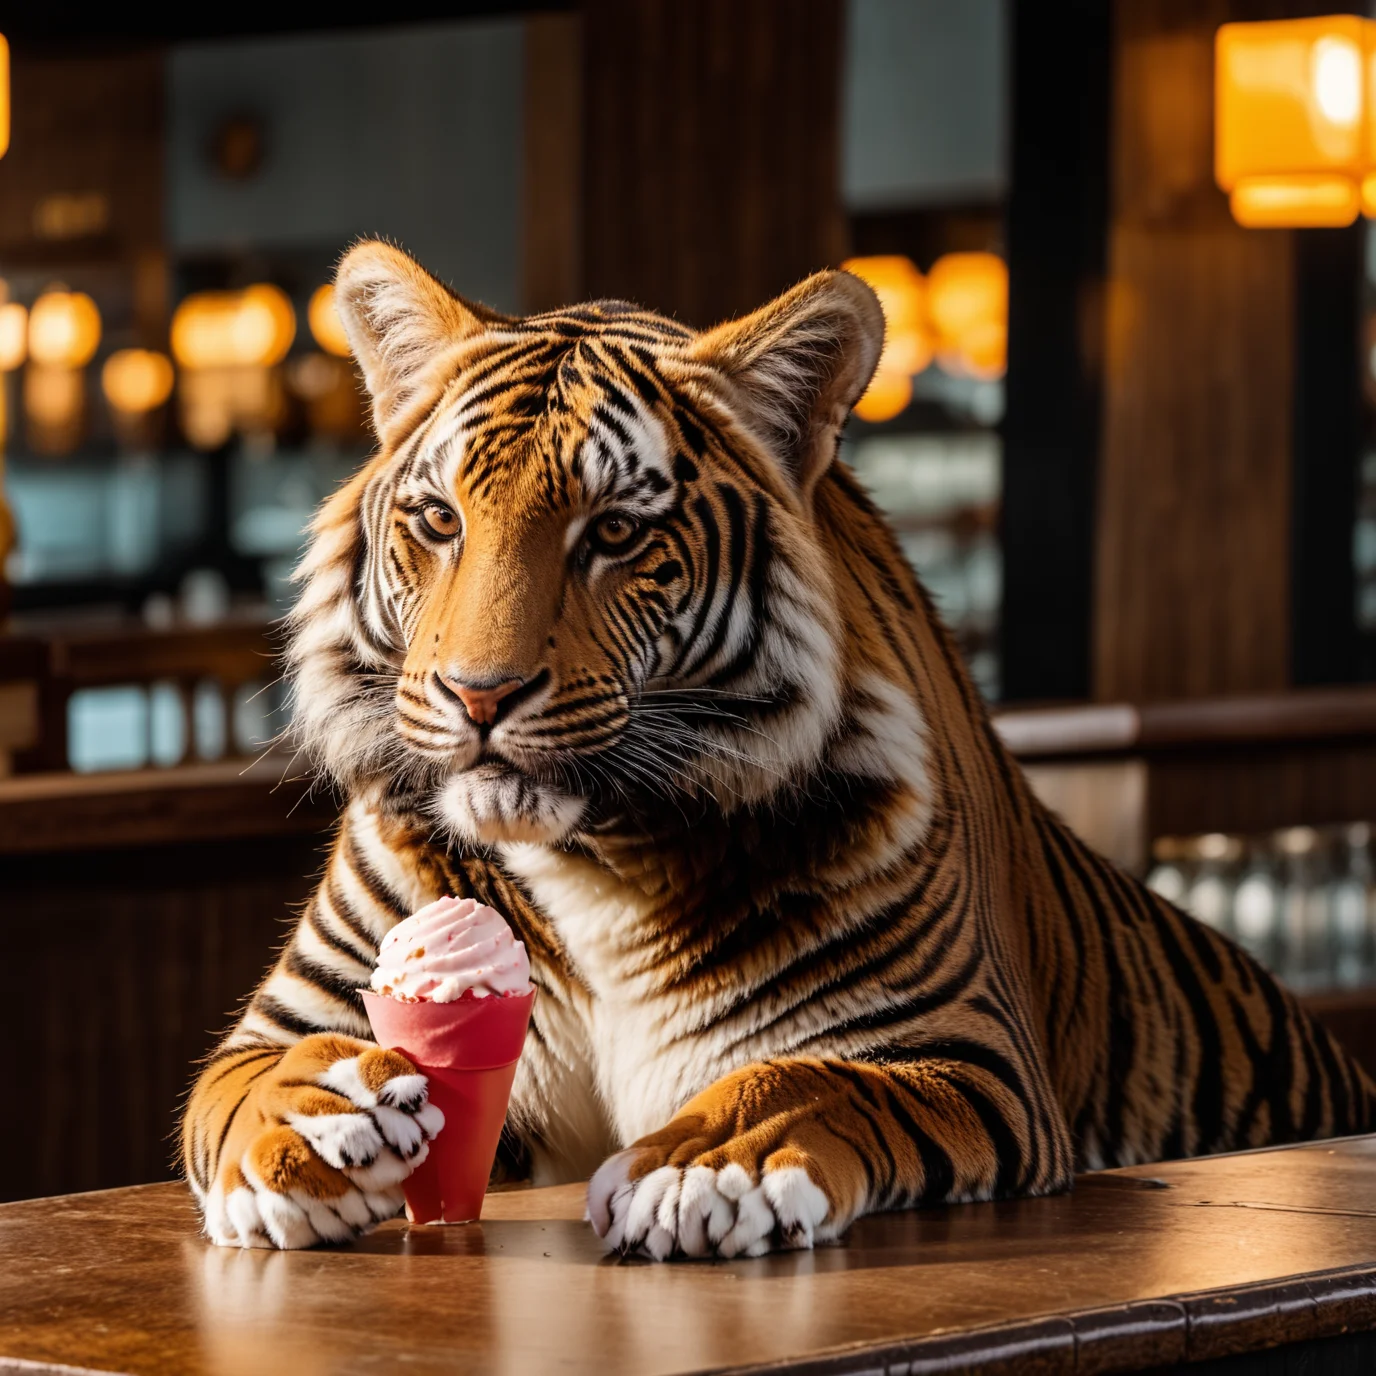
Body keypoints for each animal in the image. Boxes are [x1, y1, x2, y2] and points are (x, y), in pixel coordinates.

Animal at [181, 239, 1376, 1256]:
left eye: (615, 532)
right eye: (439, 521)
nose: (478, 695)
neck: (589, 854)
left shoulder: (954, 1046)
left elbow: (811, 1079)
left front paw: (708, 1166)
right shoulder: (301, 1010)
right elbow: (246, 1079)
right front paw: (313, 1118)